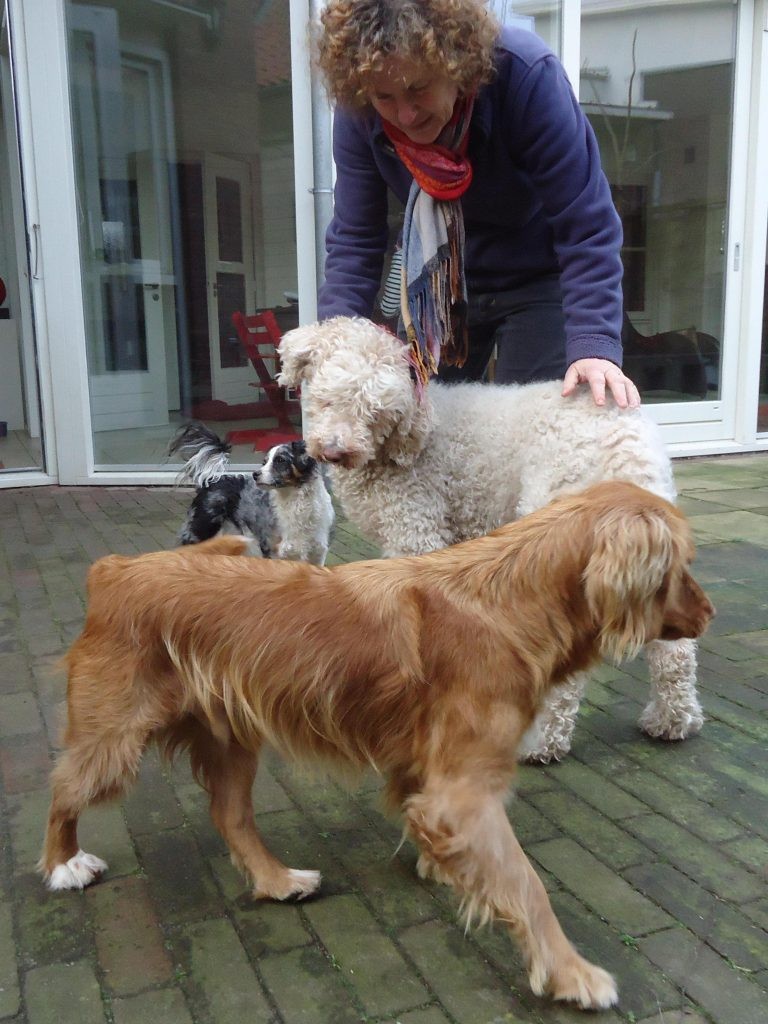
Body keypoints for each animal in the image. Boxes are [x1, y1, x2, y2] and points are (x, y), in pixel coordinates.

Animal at [41, 481, 716, 1007]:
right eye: (682, 565)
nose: (709, 613)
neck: (508, 599)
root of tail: (115, 569)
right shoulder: (465, 791)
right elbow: (528, 886)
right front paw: (570, 972)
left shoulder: (431, 775)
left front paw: (446, 866)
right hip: (113, 738)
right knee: (63, 792)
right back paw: (64, 864)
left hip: (228, 733)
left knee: (229, 814)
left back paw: (279, 879)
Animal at [167, 423, 333, 569]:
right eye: (264, 462)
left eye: (280, 460)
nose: (255, 474)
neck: (295, 503)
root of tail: (210, 481)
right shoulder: (271, 549)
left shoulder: (318, 553)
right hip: (200, 532)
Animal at [280, 315, 708, 765]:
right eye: (327, 400)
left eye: (376, 415)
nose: (334, 451)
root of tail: (621, 439)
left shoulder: (415, 527)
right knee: (675, 650)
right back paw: (673, 720)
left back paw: (542, 743)